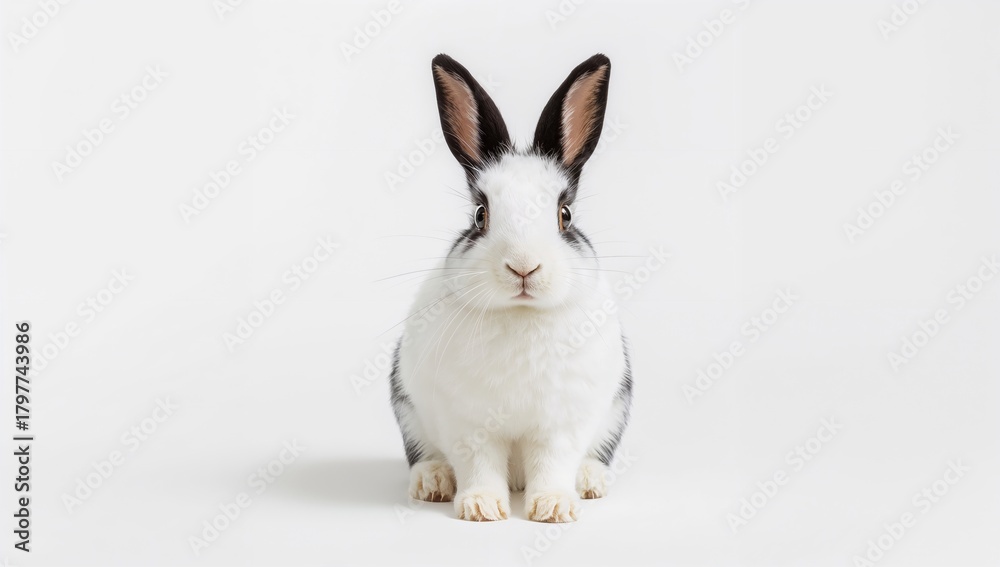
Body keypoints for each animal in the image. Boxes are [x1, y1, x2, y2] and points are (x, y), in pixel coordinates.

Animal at [389, 53, 632, 523]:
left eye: (565, 215)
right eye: (480, 214)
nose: (523, 266)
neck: (521, 315)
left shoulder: (561, 424)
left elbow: (553, 463)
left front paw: (553, 507)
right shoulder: (469, 423)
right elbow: (479, 464)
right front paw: (481, 507)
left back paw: (590, 482)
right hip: (408, 410)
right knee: (424, 454)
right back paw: (433, 482)